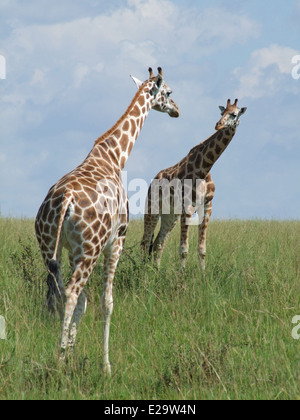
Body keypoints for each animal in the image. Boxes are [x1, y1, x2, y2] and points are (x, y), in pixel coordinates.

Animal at [35, 66, 180, 374]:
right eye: (169, 92)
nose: (176, 109)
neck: (114, 156)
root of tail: (64, 201)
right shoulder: (117, 241)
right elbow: (107, 302)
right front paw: (106, 366)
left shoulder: (70, 250)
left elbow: (86, 303)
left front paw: (73, 351)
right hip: (90, 250)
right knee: (71, 294)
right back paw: (59, 360)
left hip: (50, 247)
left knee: (59, 294)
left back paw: (61, 355)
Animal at [142, 98, 247, 270]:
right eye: (222, 112)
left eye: (234, 114)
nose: (218, 124)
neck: (205, 168)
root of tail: (153, 180)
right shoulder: (187, 207)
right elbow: (184, 248)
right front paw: (181, 274)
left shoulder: (207, 206)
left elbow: (202, 248)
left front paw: (202, 273)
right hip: (152, 208)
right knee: (145, 242)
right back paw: (141, 271)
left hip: (171, 215)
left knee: (158, 242)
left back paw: (155, 271)